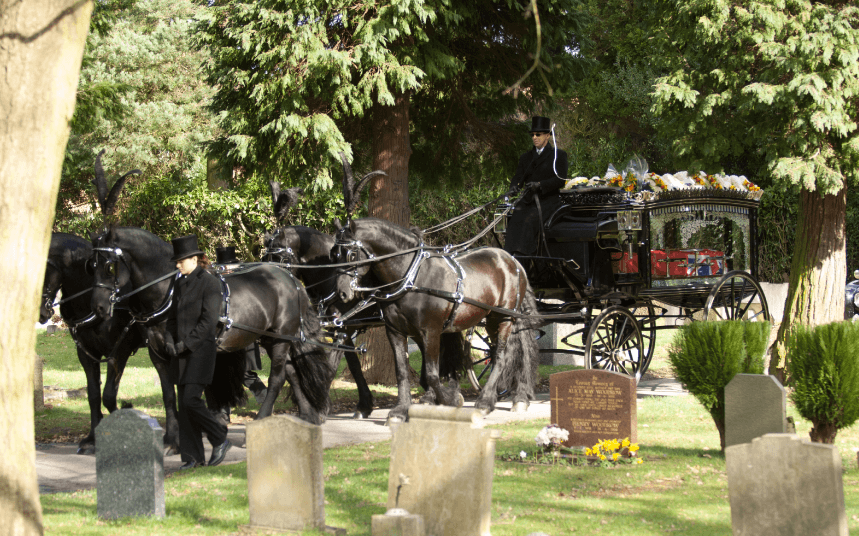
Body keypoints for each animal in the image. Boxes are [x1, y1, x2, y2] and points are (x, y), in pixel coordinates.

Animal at [39, 232, 171, 454]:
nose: (41, 313)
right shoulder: (86, 354)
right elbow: (93, 395)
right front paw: (92, 439)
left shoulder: (118, 351)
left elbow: (109, 395)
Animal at [90, 225, 332, 422]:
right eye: (90, 266)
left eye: (109, 266)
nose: (99, 307)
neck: (169, 291)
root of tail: (292, 280)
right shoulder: (159, 354)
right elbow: (172, 393)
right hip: (270, 338)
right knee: (292, 372)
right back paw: (308, 414)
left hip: (281, 338)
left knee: (278, 377)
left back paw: (263, 416)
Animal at [334, 218, 540, 422]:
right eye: (335, 254)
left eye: (351, 254)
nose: (342, 293)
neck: (412, 277)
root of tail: (513, 261)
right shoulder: (396, 332)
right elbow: (402, 372)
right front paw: (401, 410)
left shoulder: (430, 331)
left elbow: (432, 374)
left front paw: (451, 400)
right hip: (491, 319)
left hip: (504, 317)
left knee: (501, 356)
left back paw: (489, 402)